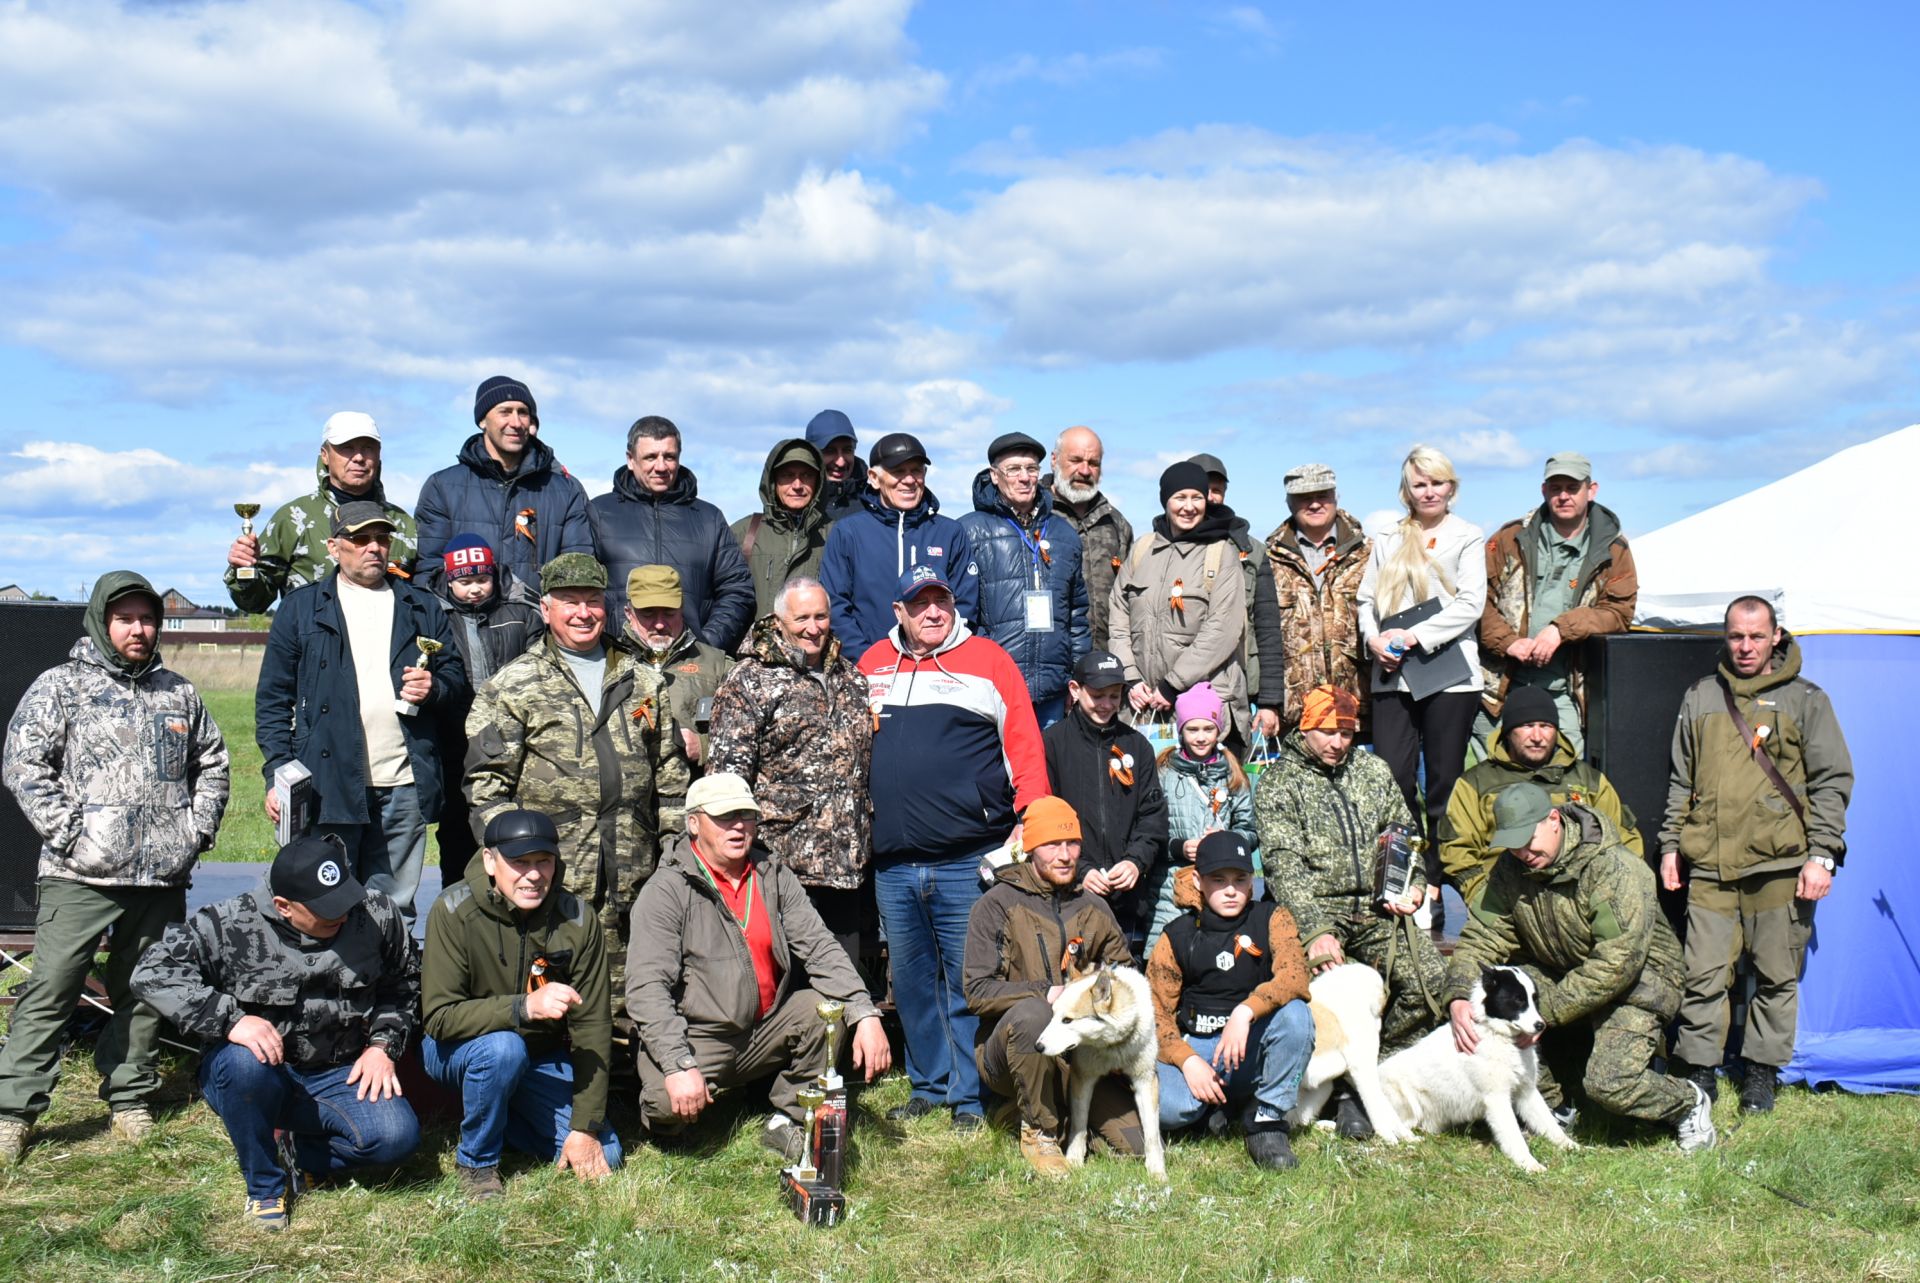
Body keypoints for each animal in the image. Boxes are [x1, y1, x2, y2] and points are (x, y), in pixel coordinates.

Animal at [1036, 960, 1167, 1183]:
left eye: (1067, 1020)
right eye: (1053, 1016)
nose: (1038, 1046)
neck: (1112, 1046)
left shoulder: (1146, 1079)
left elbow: (1151, 1134)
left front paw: (1157, 1171)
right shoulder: (1082, 1077)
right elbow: (1079, 1125)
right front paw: (1074, 1160)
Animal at [1374, 960, 1582, 1175]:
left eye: (1534, 1000)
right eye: (1518, 1000)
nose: (1541, 1025)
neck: (1498, 1036)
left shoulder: (1527, 1092)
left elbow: (1549, 1123)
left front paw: (1569, 1145)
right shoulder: (1497, 1099)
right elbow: (1514, 1135)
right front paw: (1528, 1163)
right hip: (1406, 1102)